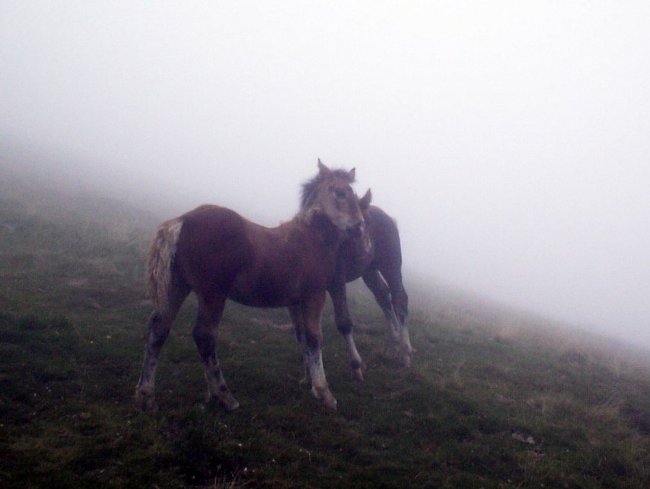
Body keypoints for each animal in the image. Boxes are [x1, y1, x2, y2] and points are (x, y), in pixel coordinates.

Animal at [135, 159, 370, 408]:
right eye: (340, 192)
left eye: (354, 194)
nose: (359, 227)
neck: (311, 238)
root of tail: (182, 220)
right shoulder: (314, 295)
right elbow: (315, 338)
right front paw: (324, 392)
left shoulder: (295, 301)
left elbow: (303, 337)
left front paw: (309, 381)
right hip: (212, 294)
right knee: (204, 335)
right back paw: (223, 395)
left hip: (178, 286)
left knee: (159, 329)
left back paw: (146, 394)